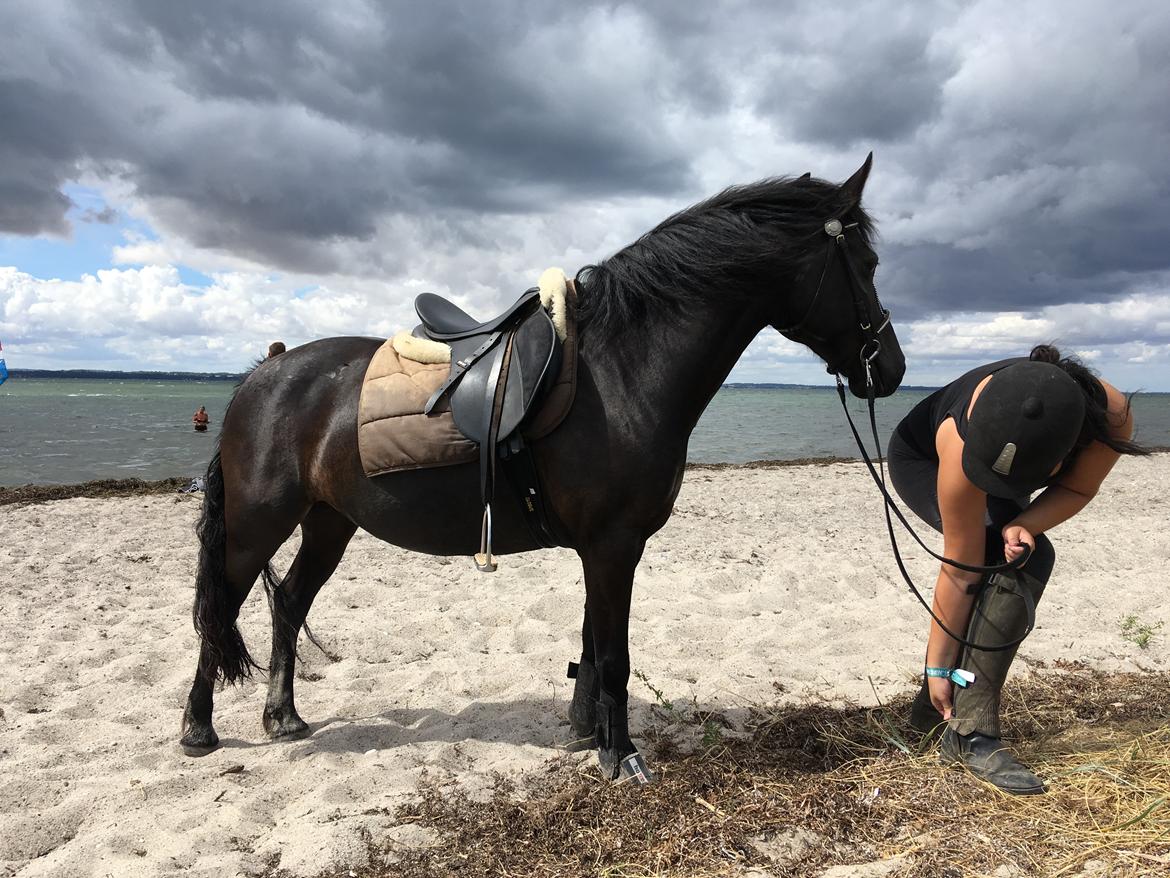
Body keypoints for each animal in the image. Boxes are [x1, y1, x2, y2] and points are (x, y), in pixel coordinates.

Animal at [180, 158, 903, 782]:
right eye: (866, 263)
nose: (891, 368)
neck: (623, 372)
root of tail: (262, 374)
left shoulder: (603, 547)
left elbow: (591, 643)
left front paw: (588, 733)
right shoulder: (613, 545)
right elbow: (613, 656)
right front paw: (622, 757)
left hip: (329, 521)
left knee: (287, 600)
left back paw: (282, 716)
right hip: (257, 523)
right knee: (222, 606)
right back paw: (198, 727)